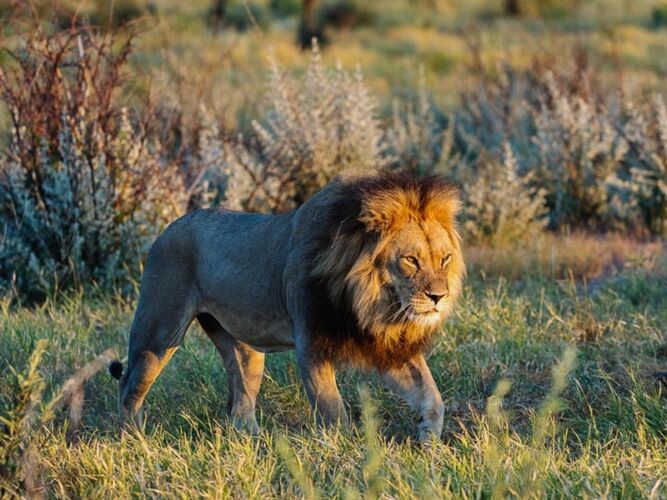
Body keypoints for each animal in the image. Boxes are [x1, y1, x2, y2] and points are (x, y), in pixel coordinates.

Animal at [109, 172, 465, 441]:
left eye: (444, 259)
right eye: (411, 260)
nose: (439, 297)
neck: (371, 304)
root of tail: (168, 227)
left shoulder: (386, 347)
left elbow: (432, 396)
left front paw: (429, 441)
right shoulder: (311, 344)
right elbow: (333, 410)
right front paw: (346, 454)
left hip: (243, 349)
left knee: (240, 405)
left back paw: (256, 443)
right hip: (159, 331)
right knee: (128, 388)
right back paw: (136, 441)